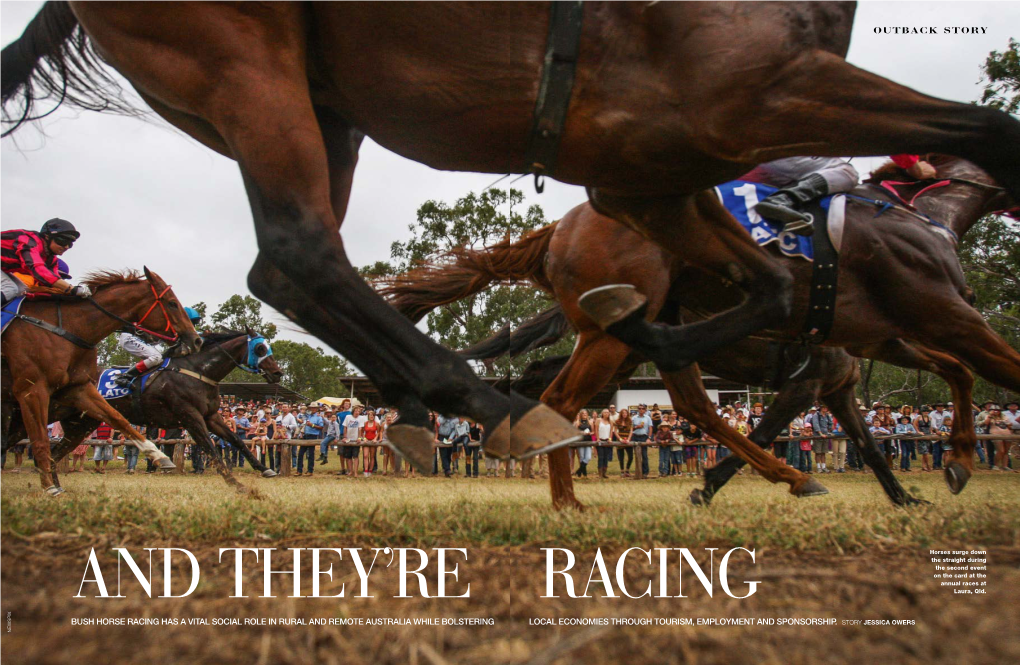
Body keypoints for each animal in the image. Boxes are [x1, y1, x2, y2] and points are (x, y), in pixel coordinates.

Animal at [0, 269, 200, 493]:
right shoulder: (32, 389)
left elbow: (118, 418)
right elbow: (40, 438)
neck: (69, 327)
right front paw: (49, 487)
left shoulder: (78, 389)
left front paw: (159, 456)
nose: (196, 340)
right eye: (172, 303)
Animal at [4, 328, 283, 491]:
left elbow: (236, 440)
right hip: (49, 410)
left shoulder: (211, 416)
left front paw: (265, 469)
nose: (277, 373)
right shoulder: (190, 416)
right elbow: (210, 446)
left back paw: (54, 486)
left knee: (53, 451)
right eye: (260, 348)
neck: (198, 371)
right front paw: (234, 481)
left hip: (81, 424)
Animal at [381, 156, 1011, 509]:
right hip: (615, 343)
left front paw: (910, 495)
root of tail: (559, 230)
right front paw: (708, 484)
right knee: (570, 398)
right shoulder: (815, 378)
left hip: (628, 343)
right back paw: (564, 494)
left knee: (681, 404)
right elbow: (773, 430)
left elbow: (876, 445)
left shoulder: (855, 367)